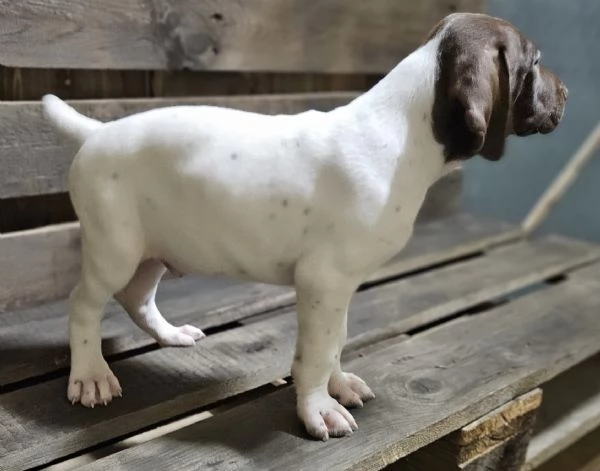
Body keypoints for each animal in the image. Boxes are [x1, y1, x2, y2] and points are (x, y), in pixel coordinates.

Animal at [43, 13, 568, 442]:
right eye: (537, 62)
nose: (566, 93)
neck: (401, 132)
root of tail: (99, 132)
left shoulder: (339, 287)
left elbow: (334, 340)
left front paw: (337, 384)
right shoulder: (325, 280)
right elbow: (316, 351)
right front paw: (318, 408)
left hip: (153, 246)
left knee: (136, 297)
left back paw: (170, 334)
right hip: (115, 247)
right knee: (84, 306)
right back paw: (90, 374)